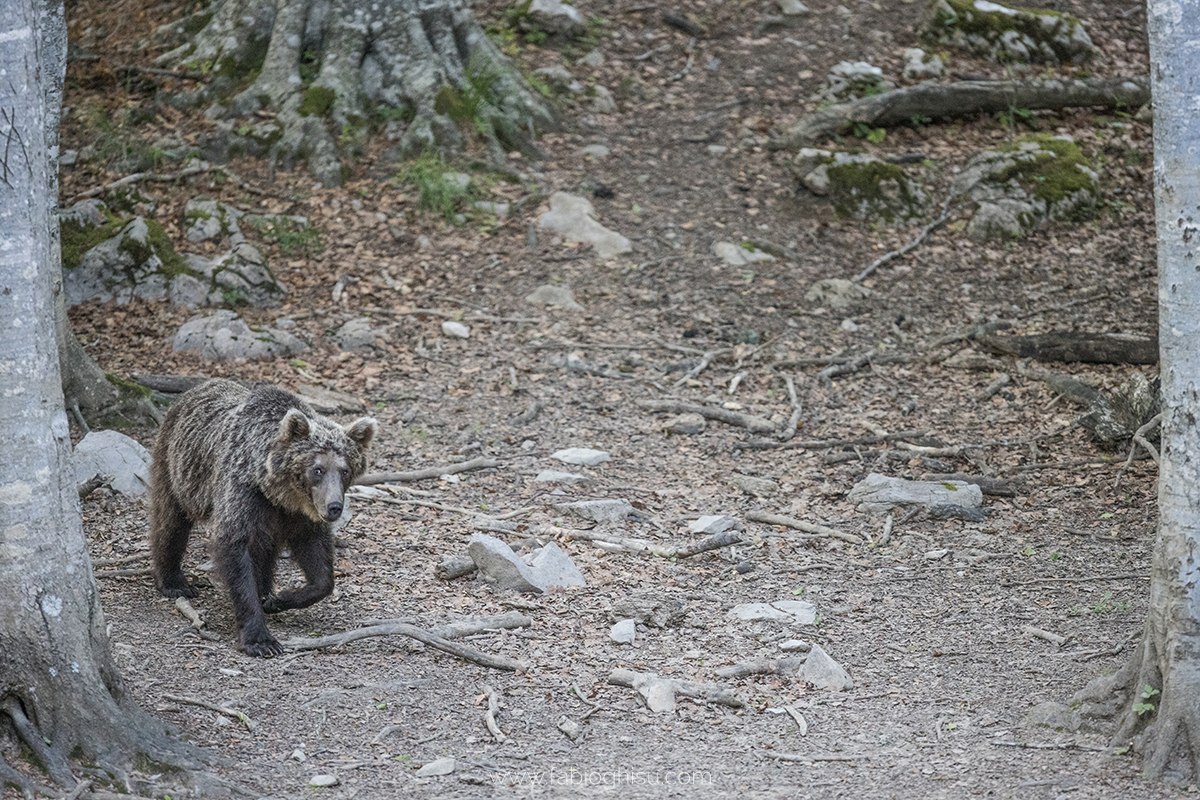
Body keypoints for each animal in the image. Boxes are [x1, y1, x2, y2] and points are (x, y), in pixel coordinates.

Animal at [148, 381, 374, 657]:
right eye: (317, 469)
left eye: (345, 470)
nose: (334, 507)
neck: (278, 492)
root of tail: (195, 389)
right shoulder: (243, 494)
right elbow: (235, 551)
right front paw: (260, 640)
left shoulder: (297, 515)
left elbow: (318, 563)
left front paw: (280, 598)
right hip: (177, 467)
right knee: (170, 521)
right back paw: (174, 581)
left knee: (266, 548)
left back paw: (266, 589)